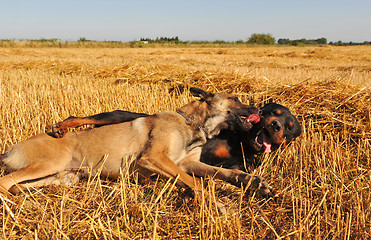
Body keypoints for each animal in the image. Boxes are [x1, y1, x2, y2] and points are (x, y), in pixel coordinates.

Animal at [0, 88, 274, 210]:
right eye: (235, 99)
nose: (259, 111)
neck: (191, 123)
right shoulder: (154, 158)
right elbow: (195, 182)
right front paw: (214, 202)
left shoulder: (187, 162)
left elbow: (222, 173)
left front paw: (252, 182)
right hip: (50, 164)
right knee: (5, 182)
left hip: (62, 177)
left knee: (17, 185)